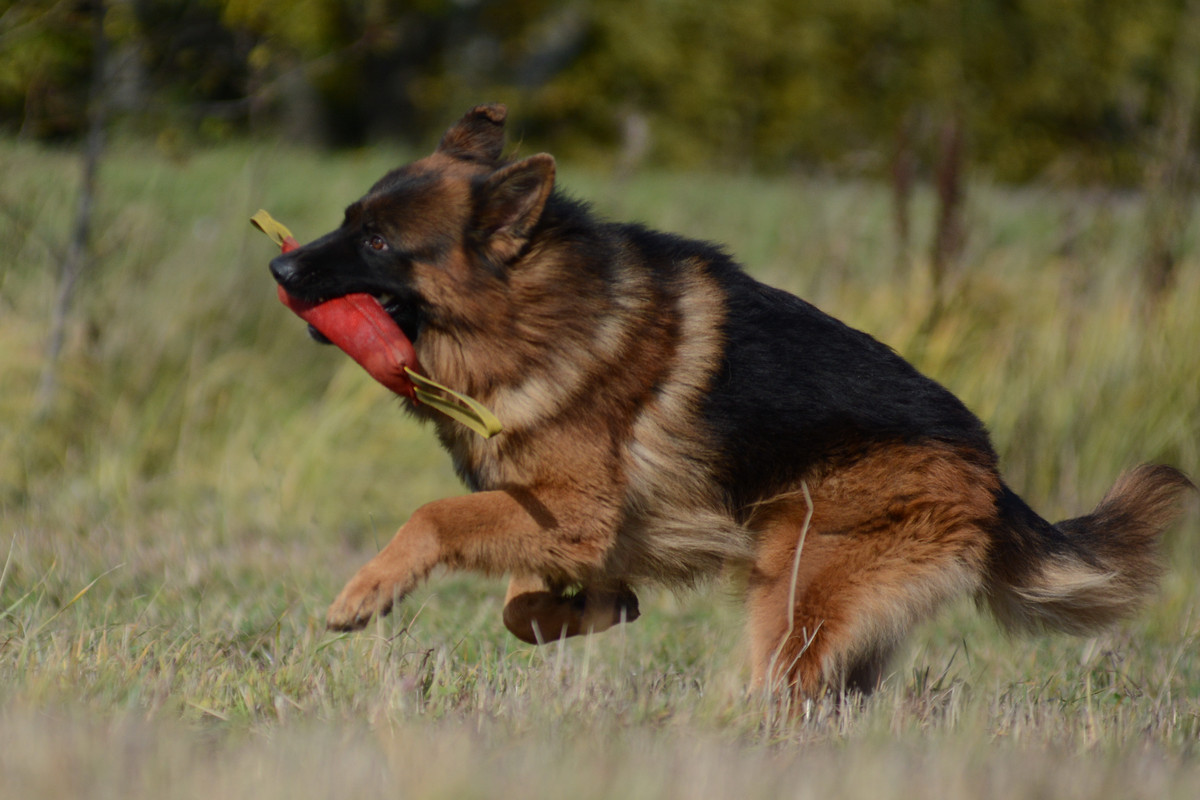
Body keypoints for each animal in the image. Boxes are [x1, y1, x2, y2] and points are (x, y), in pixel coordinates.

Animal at [267, 103, 1195, 695]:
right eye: (347, 218)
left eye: (377, 242)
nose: (278, 266)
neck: (528, 306)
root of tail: (991, 471)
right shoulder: (571, 527)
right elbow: (525, 609)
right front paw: (579, 611)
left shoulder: (573, 511)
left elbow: (432, 518)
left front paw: (364, 593)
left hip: (792, 598)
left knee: (777, 695)